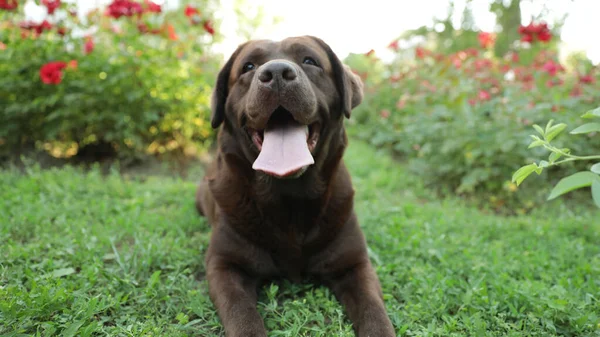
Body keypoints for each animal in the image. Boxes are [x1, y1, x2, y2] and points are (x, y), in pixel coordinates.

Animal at [195, 35, 396, 334]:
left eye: (310, 61)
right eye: (248, 66)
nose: (277, 73)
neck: (288, 196)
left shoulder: (356, 263)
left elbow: (374, 312)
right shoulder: (224, 265)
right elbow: (241, 313)